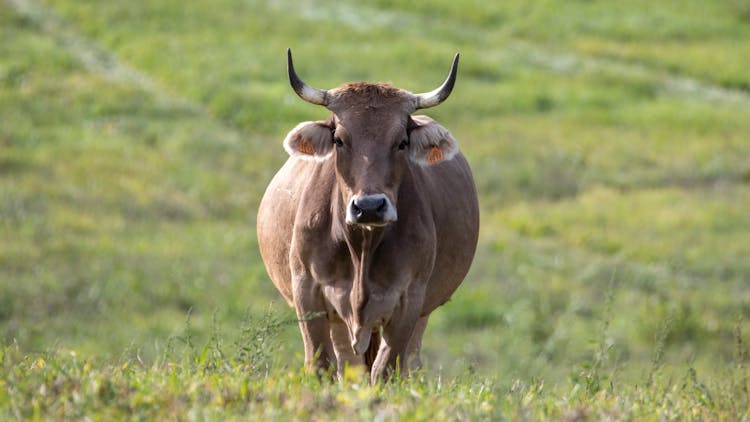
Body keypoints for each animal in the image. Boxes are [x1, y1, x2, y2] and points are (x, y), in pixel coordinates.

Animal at [258, 49, 482, 382]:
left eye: (401, 142)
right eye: (339, 139)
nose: (369, 206)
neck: (362, 247)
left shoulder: (408, 301)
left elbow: (385, 370)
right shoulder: (307, 293)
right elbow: (321, 365)